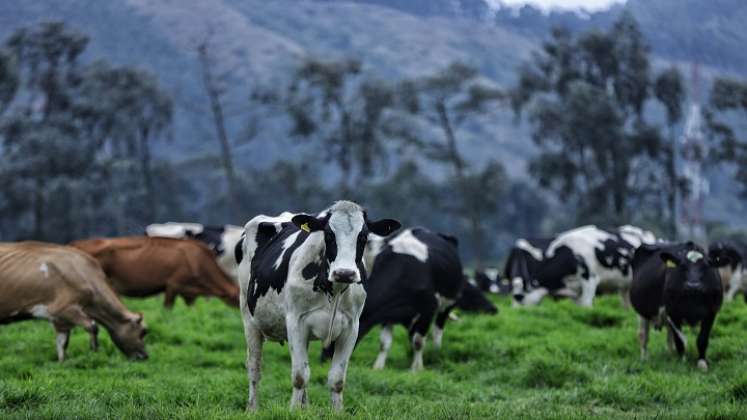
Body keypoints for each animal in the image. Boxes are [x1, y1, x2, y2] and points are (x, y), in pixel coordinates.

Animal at [0, 241, 149, 362]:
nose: (145, 356)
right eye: (143, 332)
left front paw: (62, 364)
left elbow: (62, 343)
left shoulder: (60, 320)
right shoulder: (62, 309)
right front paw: (94, 350)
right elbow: (93, 326)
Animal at [237, 201, 400, 410]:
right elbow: (299, 376)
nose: (345, 273)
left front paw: (336, 412)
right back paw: (253, 409)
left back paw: (305, 408)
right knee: (254, 367)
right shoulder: (296, 322)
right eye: (329, 235)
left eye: (363, 236)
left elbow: (337, 380)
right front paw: (293, 412)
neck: (333, 289)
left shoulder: (351, 327)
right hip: (248, 318)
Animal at [508, 225, 660, 306]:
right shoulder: (575, 291)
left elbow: (586, 306)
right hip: (625, 287)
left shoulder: (590, 279)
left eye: (519, 297)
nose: (516, 313)